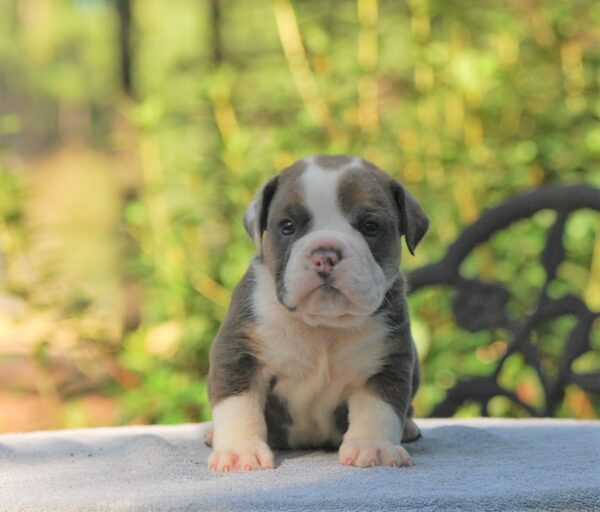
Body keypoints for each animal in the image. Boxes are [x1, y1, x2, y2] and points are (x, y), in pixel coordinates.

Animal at [206, 155, 426, 472]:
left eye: (370, 226)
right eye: (287, 226)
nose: (325, 255)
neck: (323, 326)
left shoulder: (386, 365)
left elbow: (379, 410)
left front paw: (373, 447)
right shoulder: (240, 356)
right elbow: (238, 406)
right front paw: (239, 451)